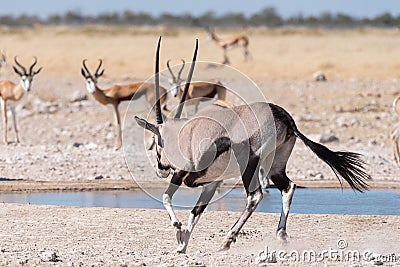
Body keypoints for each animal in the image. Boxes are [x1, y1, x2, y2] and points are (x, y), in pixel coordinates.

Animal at [136, 36, 370, 254]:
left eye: (158, 141)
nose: (160, 169)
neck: (184, 133)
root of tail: (285, 118)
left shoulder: (184, 174)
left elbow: (166, 196)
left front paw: (178, 229)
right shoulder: (212, 182)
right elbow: (197, 211)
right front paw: (182, 245)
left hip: (249, 164)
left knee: (255, 196)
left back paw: (228, 240)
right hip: (276, 164)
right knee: (288, 187)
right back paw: (281, 235)